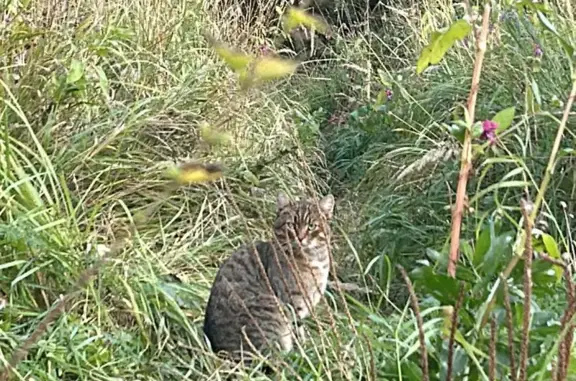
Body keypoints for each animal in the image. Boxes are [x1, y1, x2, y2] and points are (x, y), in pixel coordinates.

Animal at [204, 191, 336, 360]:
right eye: (291, 225)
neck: (314, 261)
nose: (300, 237)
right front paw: (305, 352)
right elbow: (297, 330)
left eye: (311, 226)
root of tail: (220, 351)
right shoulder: (293, 302)